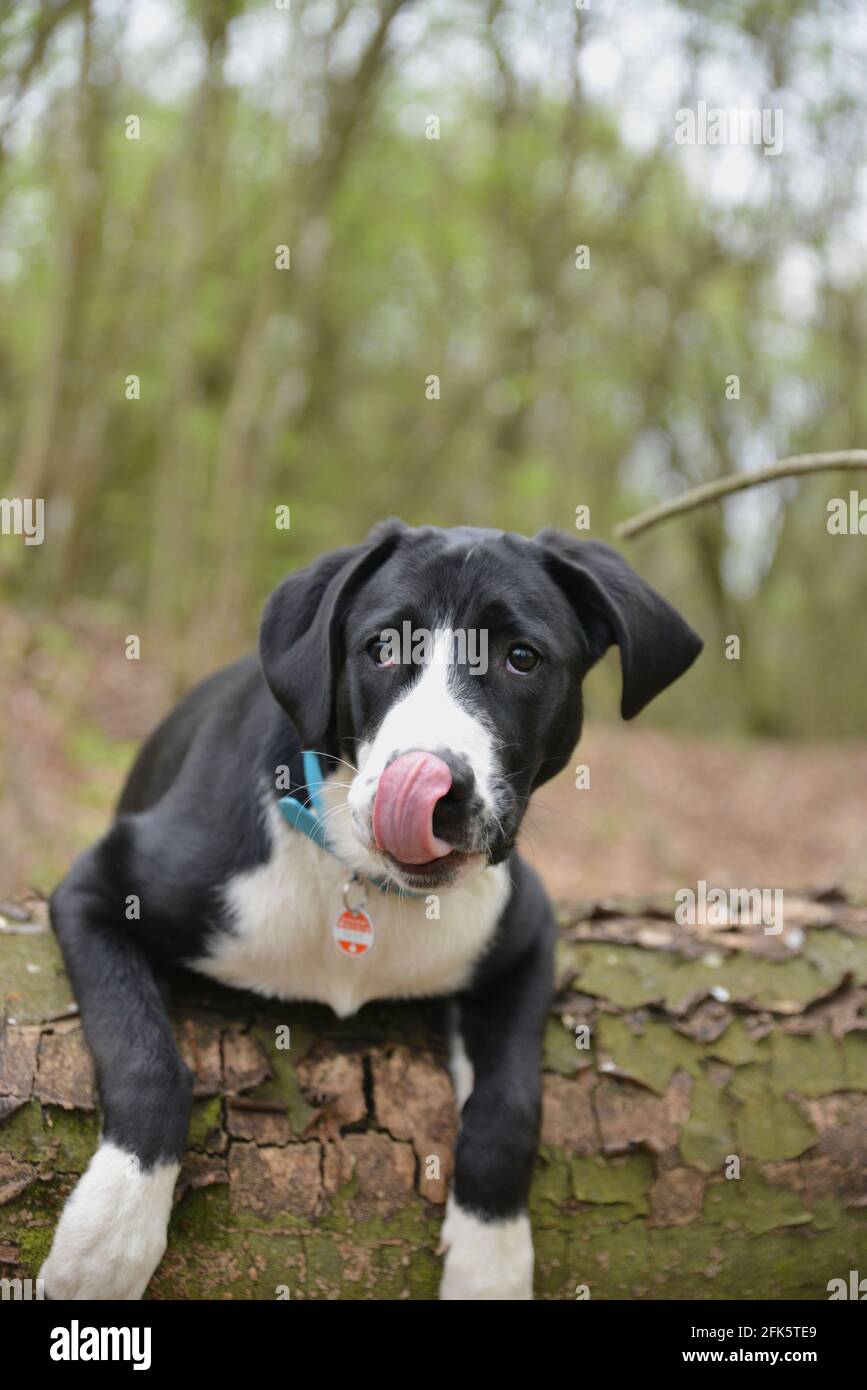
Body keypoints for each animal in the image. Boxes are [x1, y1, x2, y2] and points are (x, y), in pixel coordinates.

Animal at [42, 522, 705, 1301]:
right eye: (383, 648)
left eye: (522, 658)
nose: (435, 788)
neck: (362, 882)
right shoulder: (99, 886)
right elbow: (147, 1058)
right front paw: (109, 1237)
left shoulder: (525, 937)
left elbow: (509, 1104)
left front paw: (491, 1262)